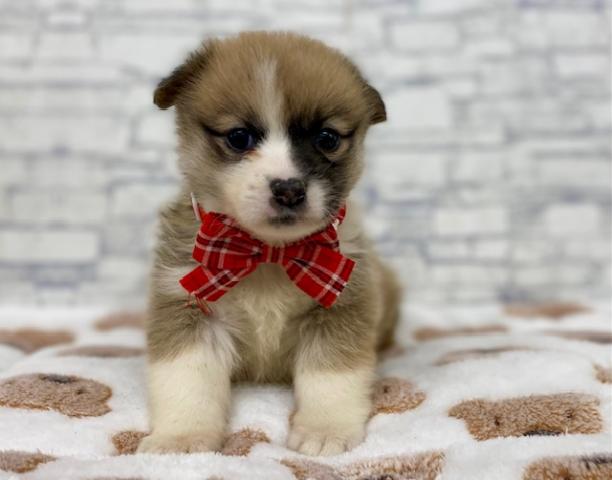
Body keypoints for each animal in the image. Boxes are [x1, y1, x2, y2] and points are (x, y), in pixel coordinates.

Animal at [138, 31, 400, 457]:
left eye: (327, 138)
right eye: (239, 137)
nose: (289, 189)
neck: (269, 254)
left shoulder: (338, 310)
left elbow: (332, 379)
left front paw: (325, 430)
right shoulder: (188, 310)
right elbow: (187, 380)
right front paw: (182, 438)